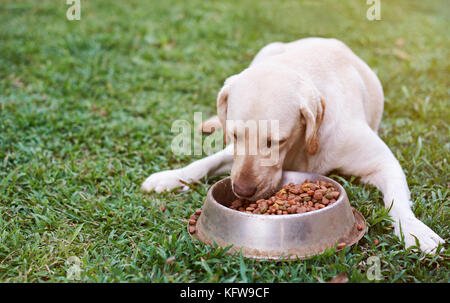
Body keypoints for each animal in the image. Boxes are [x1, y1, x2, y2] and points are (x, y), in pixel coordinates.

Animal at [142, 36, 444, 253]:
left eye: (276, 141)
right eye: (236, 135)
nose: (242, 190)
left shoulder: (383, 162)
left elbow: (396, 200)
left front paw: (415, 229)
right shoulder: (232, 152)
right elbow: (205, 161)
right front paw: (170, 177)